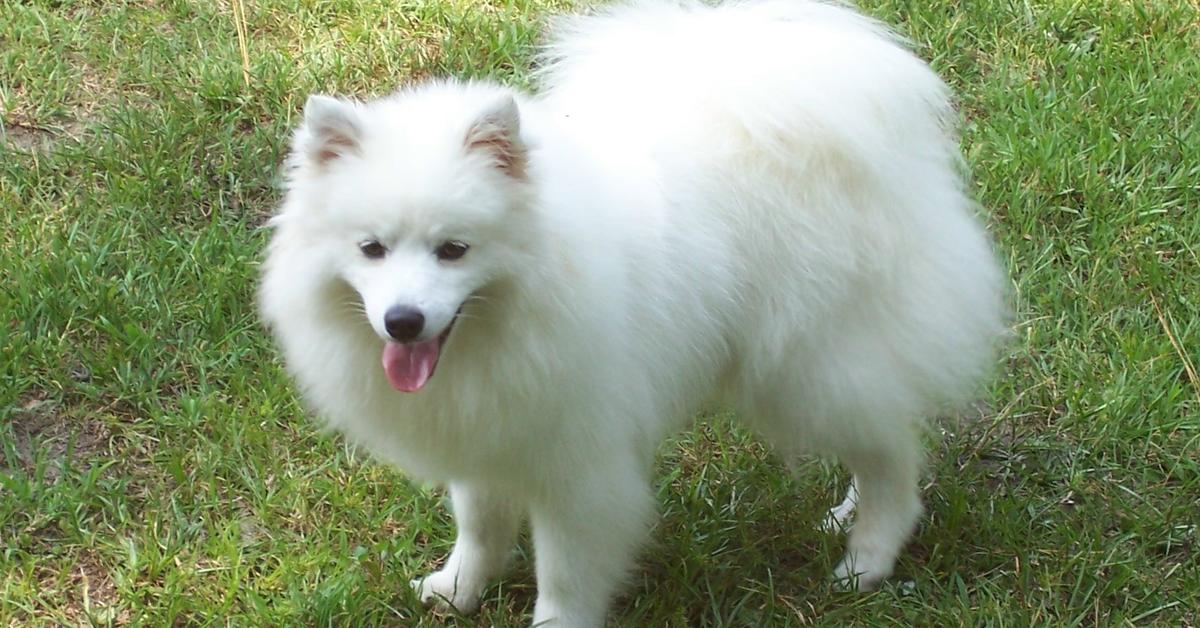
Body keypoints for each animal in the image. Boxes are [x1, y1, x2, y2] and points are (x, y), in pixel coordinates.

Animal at [258, 1, 1008, 624]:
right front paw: (457, 591)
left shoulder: (579, 463)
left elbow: (566, 571)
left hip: (806, 368)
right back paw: (845, 516)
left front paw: (552, 622)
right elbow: (479, 523)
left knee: (892, 456)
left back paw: (867, 559)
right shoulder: (490, 428)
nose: (404, 321)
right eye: (372, 248)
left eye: (453, 250)